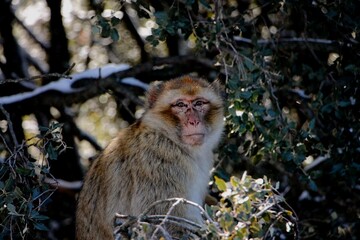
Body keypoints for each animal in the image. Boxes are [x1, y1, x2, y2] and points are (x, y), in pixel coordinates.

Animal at [76, 76, 224, 239]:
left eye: (199, 103)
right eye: (180, 105)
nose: (194, 121)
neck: (169, 137)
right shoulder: (159, 160)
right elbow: (165, 224)